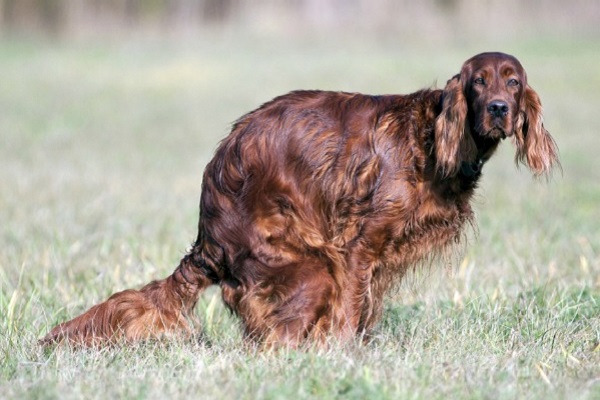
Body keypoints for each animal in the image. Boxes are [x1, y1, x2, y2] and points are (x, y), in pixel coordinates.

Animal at [41, 52, 556, 346]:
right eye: (478, 81)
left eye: (512, 81)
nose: (499, 109)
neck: (433, 141)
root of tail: (207, 242)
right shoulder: (357, 249)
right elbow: (349, 316)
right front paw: (344, 357)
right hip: (310, 271)